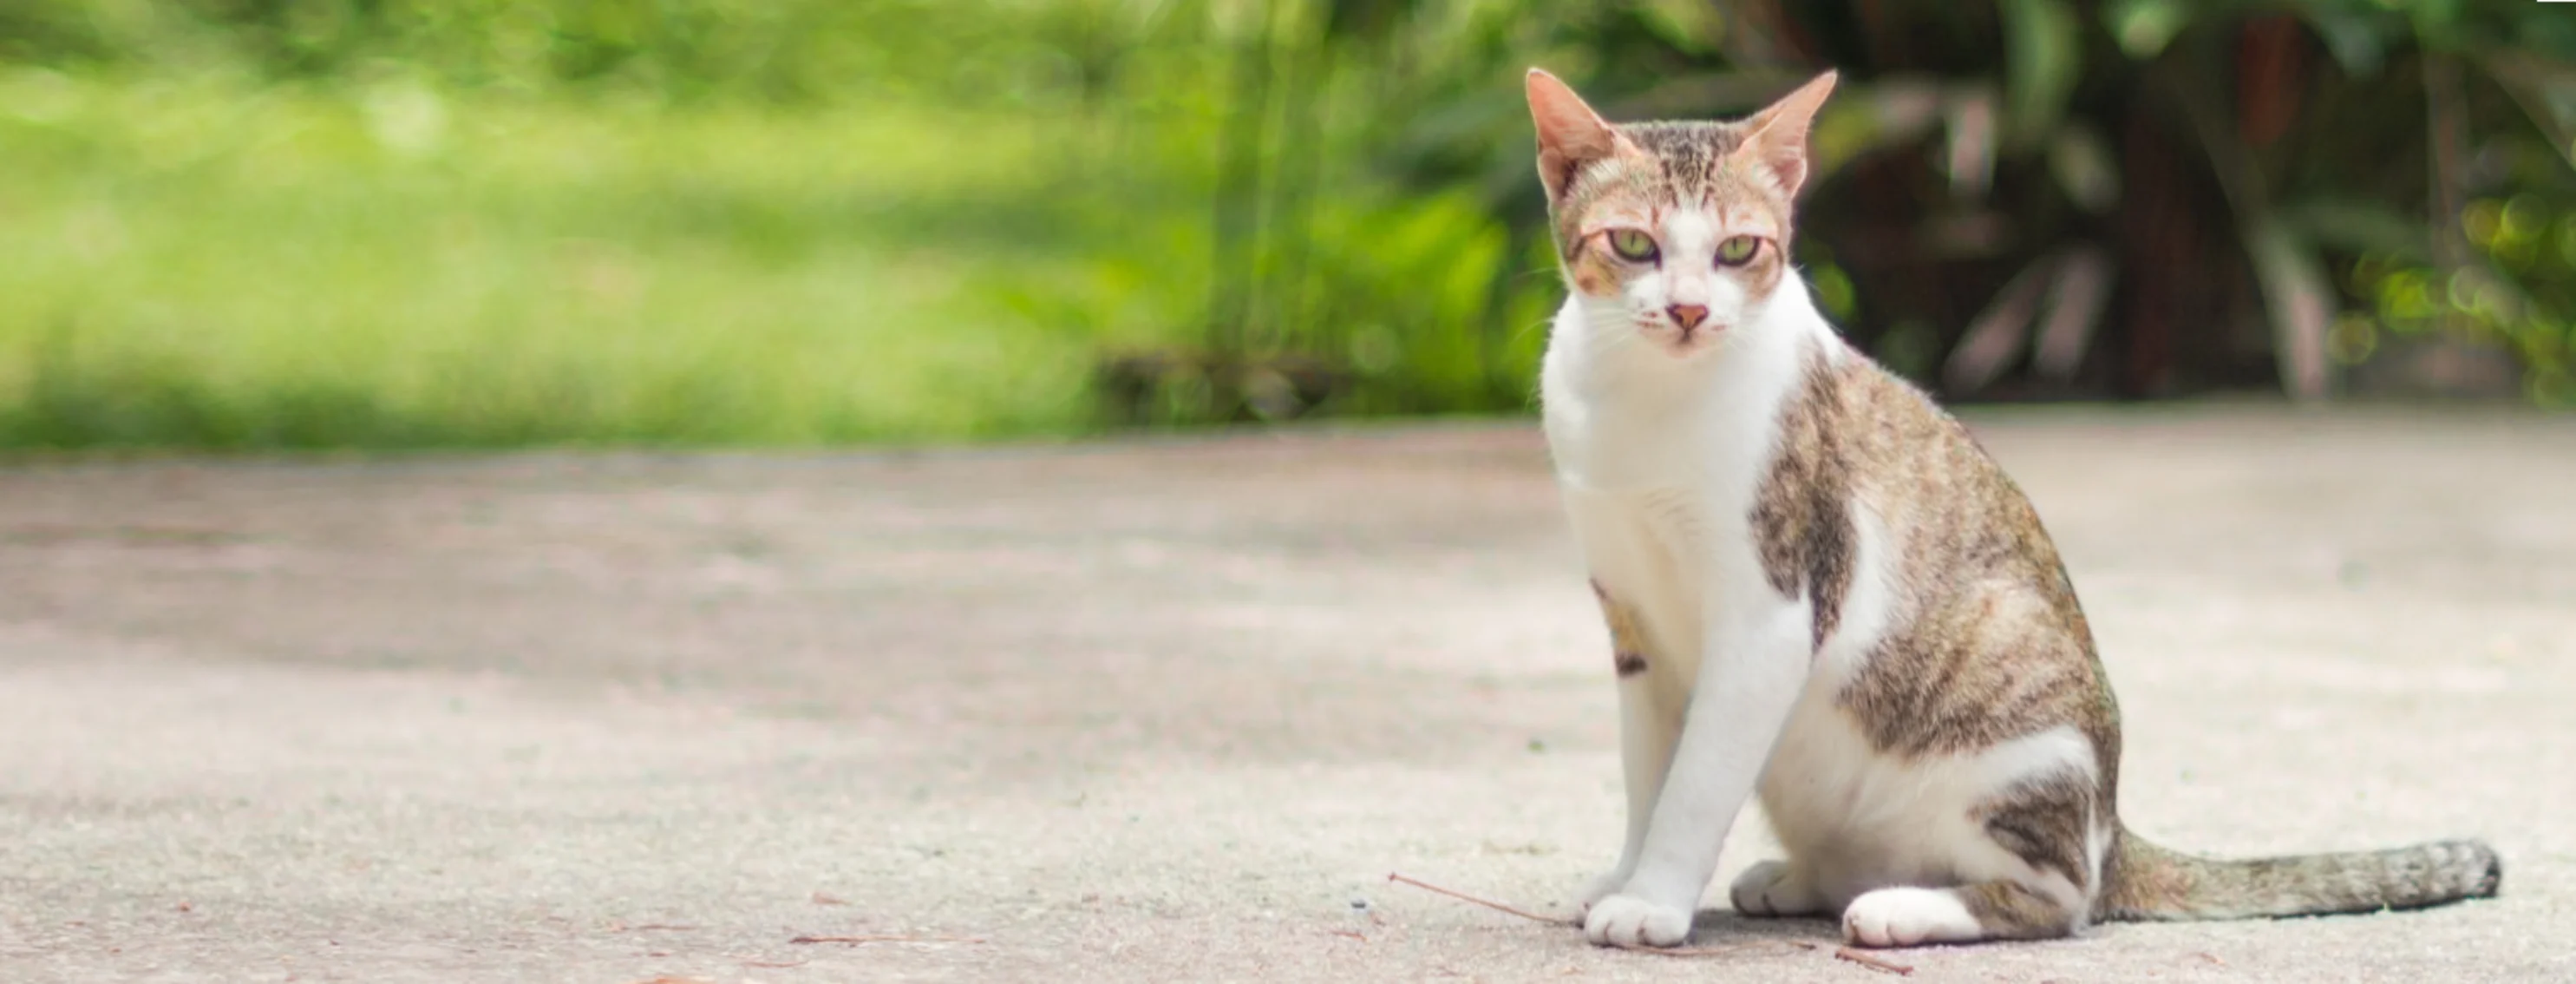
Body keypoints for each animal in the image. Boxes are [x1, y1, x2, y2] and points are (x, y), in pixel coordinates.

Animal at [1514, 65, 2503, 948]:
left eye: (1735, 250)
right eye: (1633, 245)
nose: (1687, 311)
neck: (1646, 402)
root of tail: (2112, 824)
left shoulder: (1770, 616)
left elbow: (1697, 782)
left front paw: (1655, 901)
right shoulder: (1636, 622)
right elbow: (1651, 771)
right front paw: (1628, 875)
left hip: (2010, 721)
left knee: (2061, 899)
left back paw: (1905, 909)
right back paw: (1808, 877)